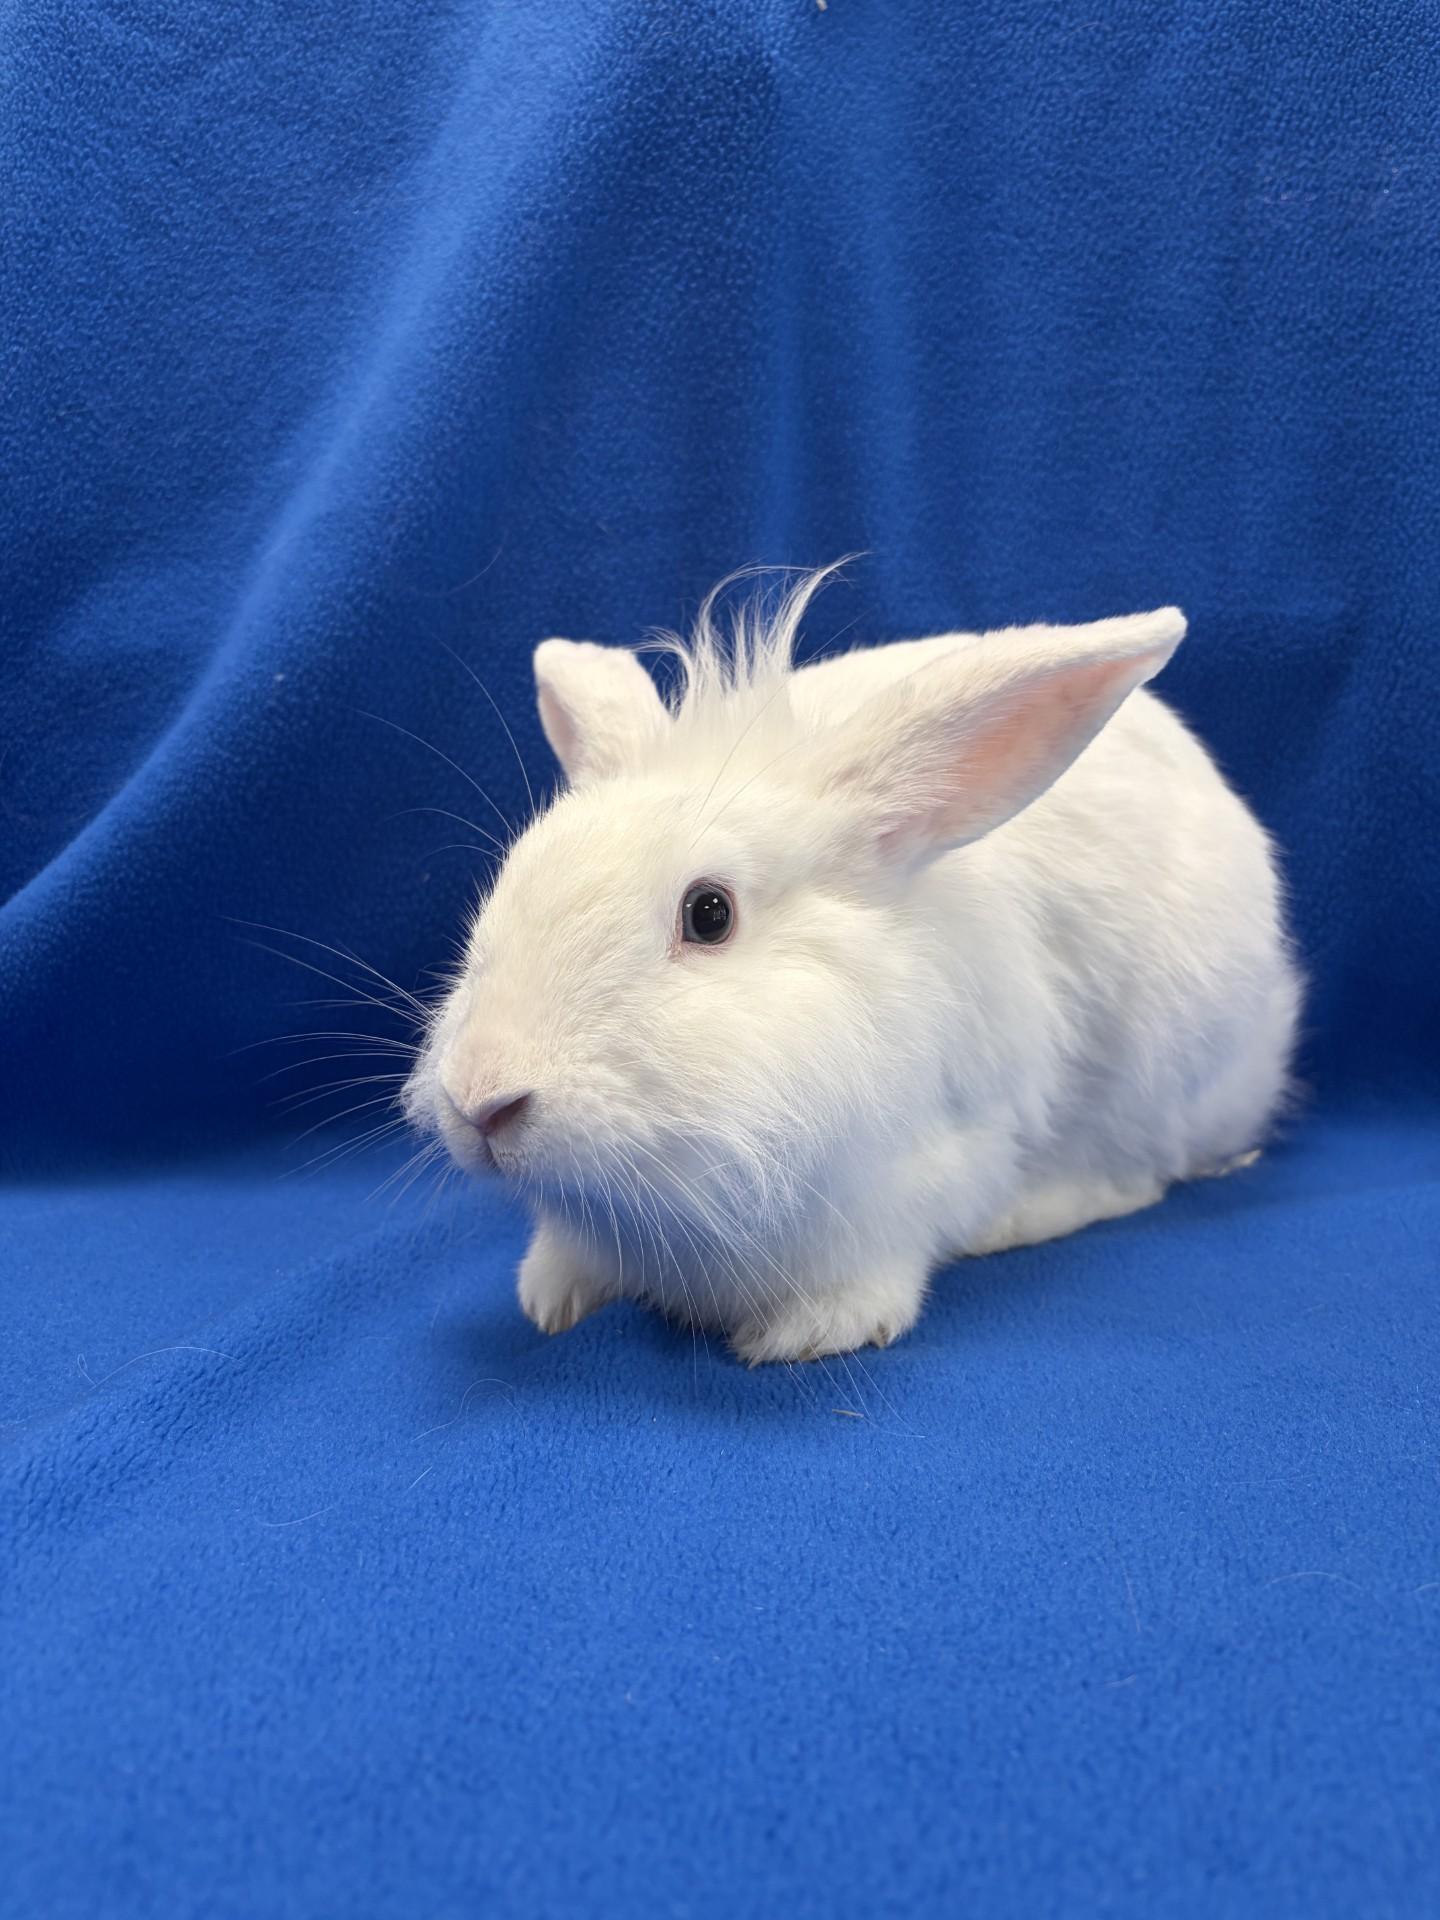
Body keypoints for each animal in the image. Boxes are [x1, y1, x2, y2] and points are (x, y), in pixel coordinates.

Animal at [403, 569, 1300, 1364]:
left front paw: (810, 1334)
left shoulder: (925, 1172)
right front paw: (550, 1298)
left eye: (709, 913)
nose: (481, 1100)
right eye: (518, 876)